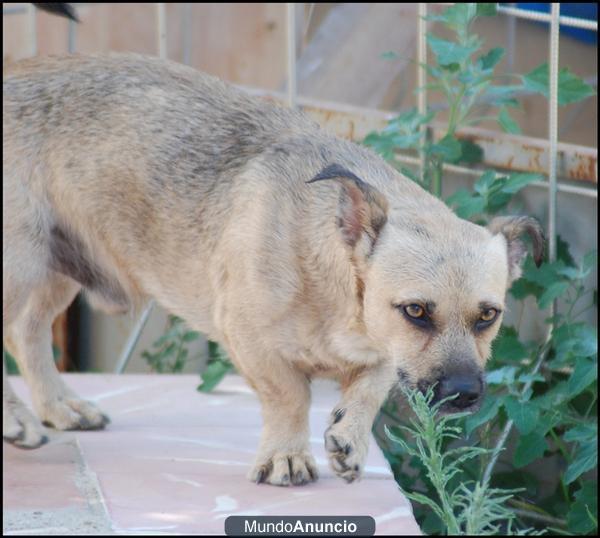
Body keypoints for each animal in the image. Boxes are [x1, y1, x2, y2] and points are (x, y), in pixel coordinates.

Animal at [1, 54, 544, 486]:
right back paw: (16, 418)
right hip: (19, 265)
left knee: (26, 333)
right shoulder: (249, 339)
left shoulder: (385, 351)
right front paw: (286, 456)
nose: (464, 394)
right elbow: (290, 396)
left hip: (55, 268)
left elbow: (372, 384)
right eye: (415, 311)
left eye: (488, 316)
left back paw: (58, 406)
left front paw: (350, 434)